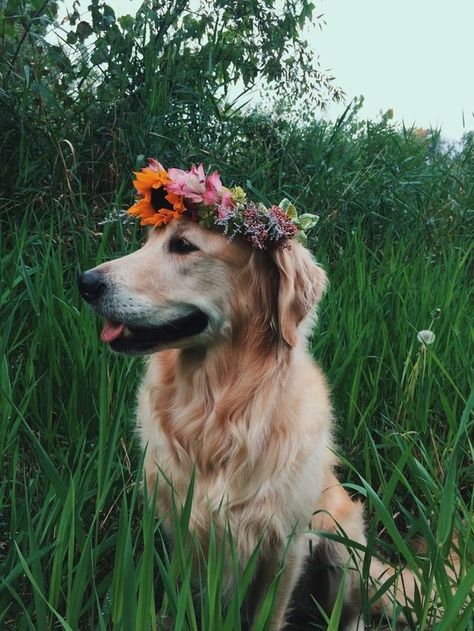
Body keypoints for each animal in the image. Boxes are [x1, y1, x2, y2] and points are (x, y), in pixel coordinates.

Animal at [78, 220, 418, 628]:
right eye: (147, 242)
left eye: (183, 246)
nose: (85, 282)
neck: (217, 411)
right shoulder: (182, 532)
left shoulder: (284, 547)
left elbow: (268, 617)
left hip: (343, 546)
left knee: (353, 610)